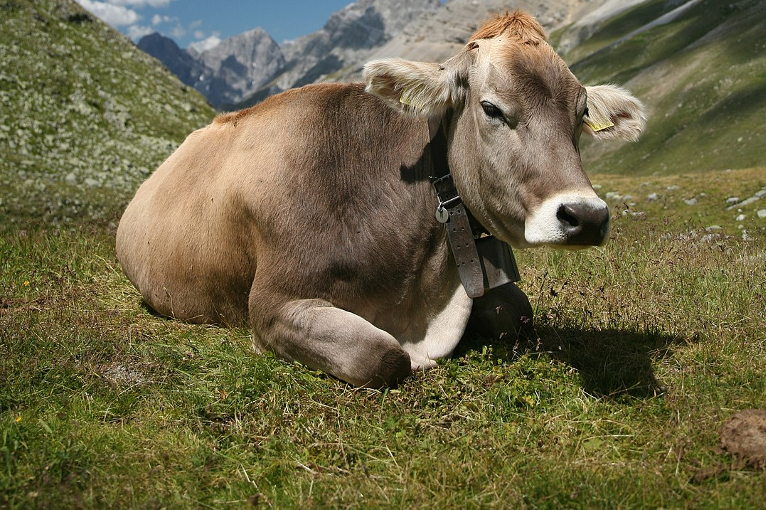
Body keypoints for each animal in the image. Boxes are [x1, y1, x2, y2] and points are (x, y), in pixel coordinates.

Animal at [116, 11, 645, 387]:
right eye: (491, 108)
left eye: (581, 113)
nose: (585, 216)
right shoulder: (273, 304)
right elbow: (382, 356)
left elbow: (517, 313)